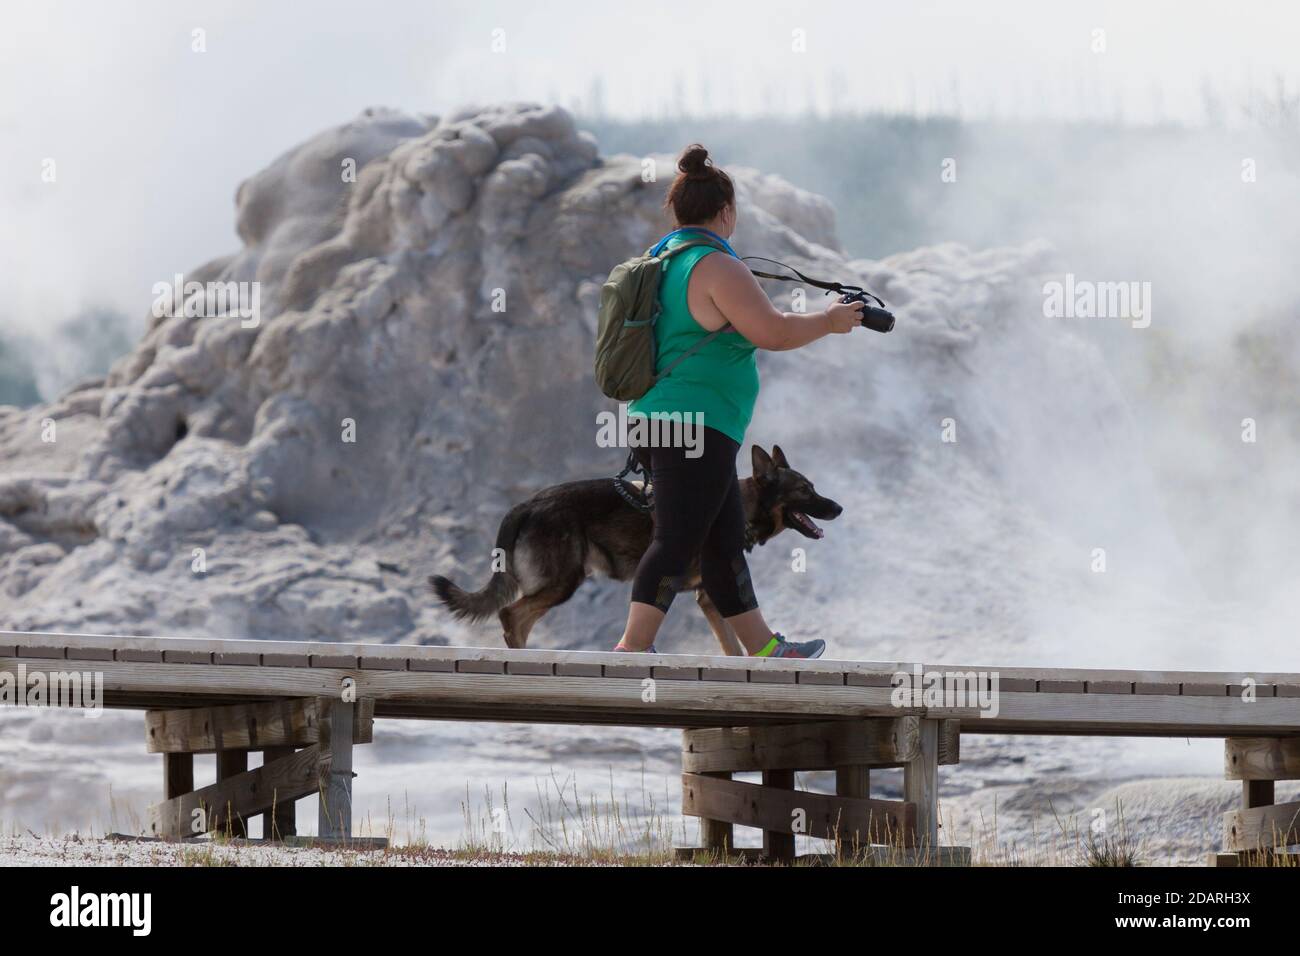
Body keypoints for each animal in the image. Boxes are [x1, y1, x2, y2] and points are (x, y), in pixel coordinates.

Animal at [431, 444, 842, 655]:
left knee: (518, 617)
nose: (838, 508)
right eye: (805, 490)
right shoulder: (713, 588)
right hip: (564, 580)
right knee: (511, 615)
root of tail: (527, 504)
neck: (743, 503)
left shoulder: (709, 597)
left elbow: (732, 645)